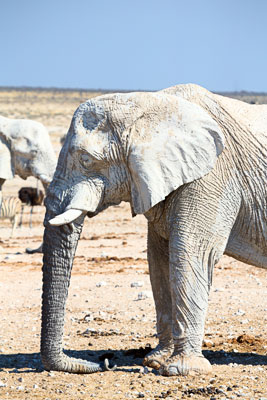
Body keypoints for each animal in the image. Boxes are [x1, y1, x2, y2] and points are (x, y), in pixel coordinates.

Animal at [40, 83, 266, 376]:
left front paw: (181, 370)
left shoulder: (214, 175)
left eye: (86, 160)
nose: (103, 362)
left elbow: (192, 252)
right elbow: (159, 258)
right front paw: (156, 361)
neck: (146, 104)